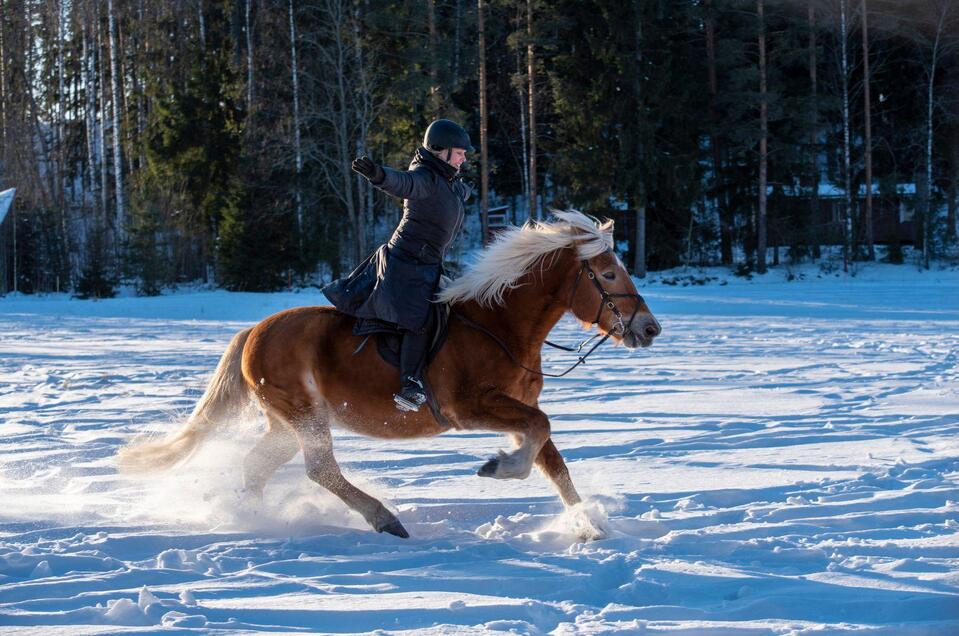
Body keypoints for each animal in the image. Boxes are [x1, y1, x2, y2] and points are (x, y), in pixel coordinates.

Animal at [118, 212, 660, 536]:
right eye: (607, 274)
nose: (649, 329)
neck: (499, 326)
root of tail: (253, 331)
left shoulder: (518, 407)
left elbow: (553, 459)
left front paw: (588, 526)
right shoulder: (469, 408)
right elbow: (539, 435)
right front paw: (497, 467)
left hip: (286, 423)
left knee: (258, 467)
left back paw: (251, 519)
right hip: (303, 415)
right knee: (320, 469)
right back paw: (384, 519)